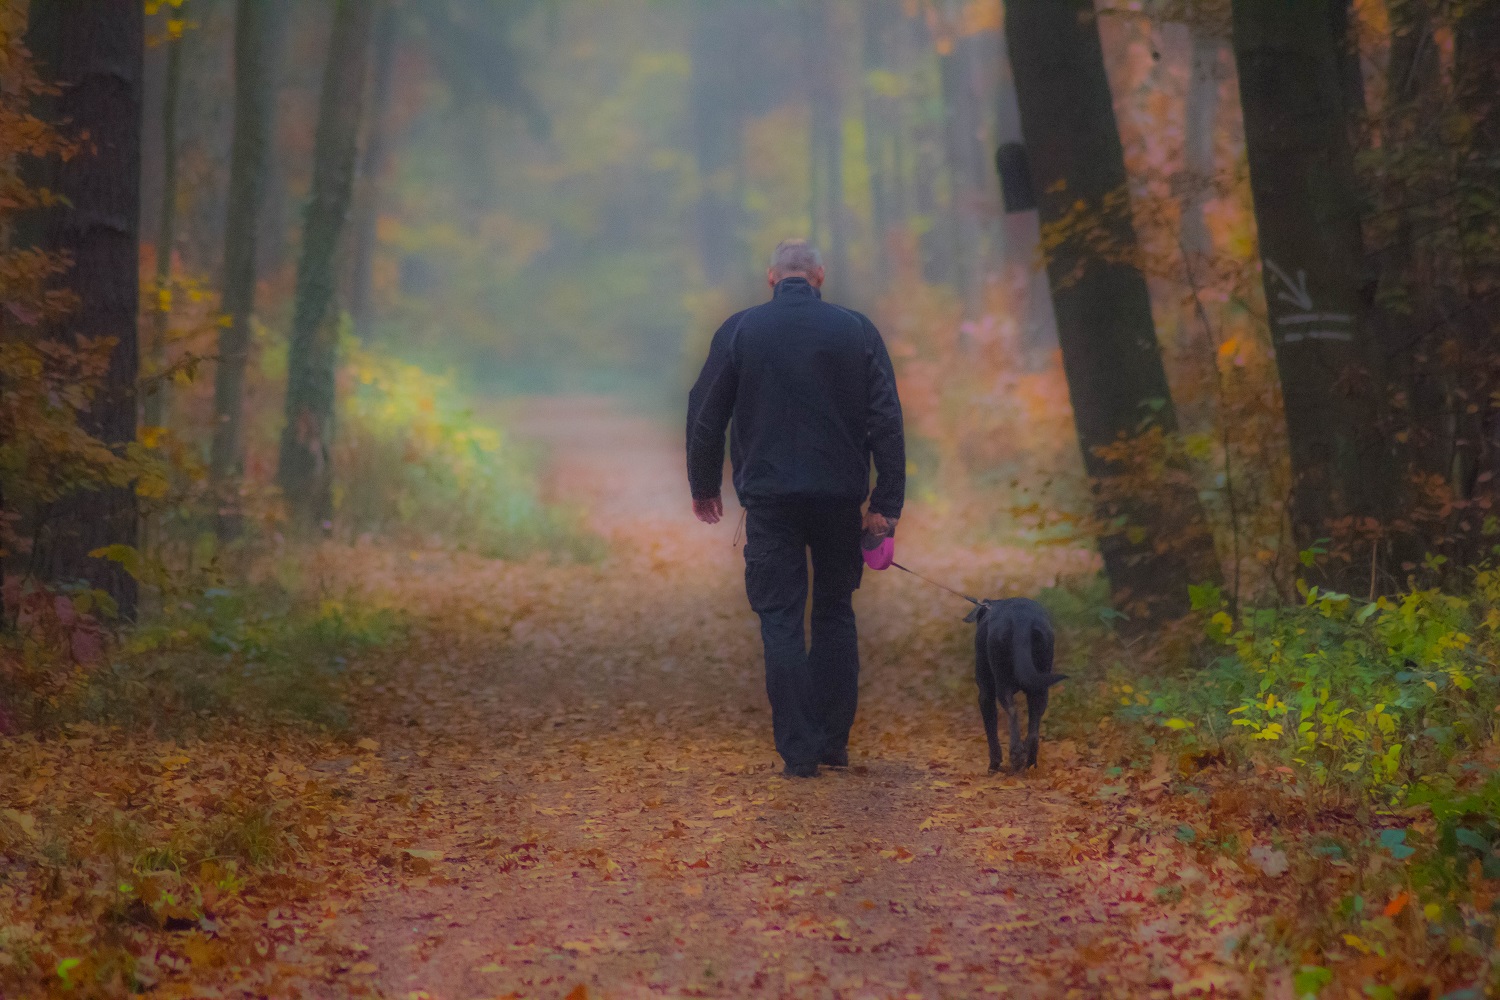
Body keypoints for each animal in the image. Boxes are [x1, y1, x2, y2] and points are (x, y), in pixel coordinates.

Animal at [972, 602, 1068, 773]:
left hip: (1002, 684)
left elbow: (991, 732)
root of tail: (1021, 620)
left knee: (1012, 711)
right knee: (1034, 731)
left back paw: (1016, 755)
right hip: (1040, 687)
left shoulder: (985, 695)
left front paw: (994, 764)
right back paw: (1029, 760)